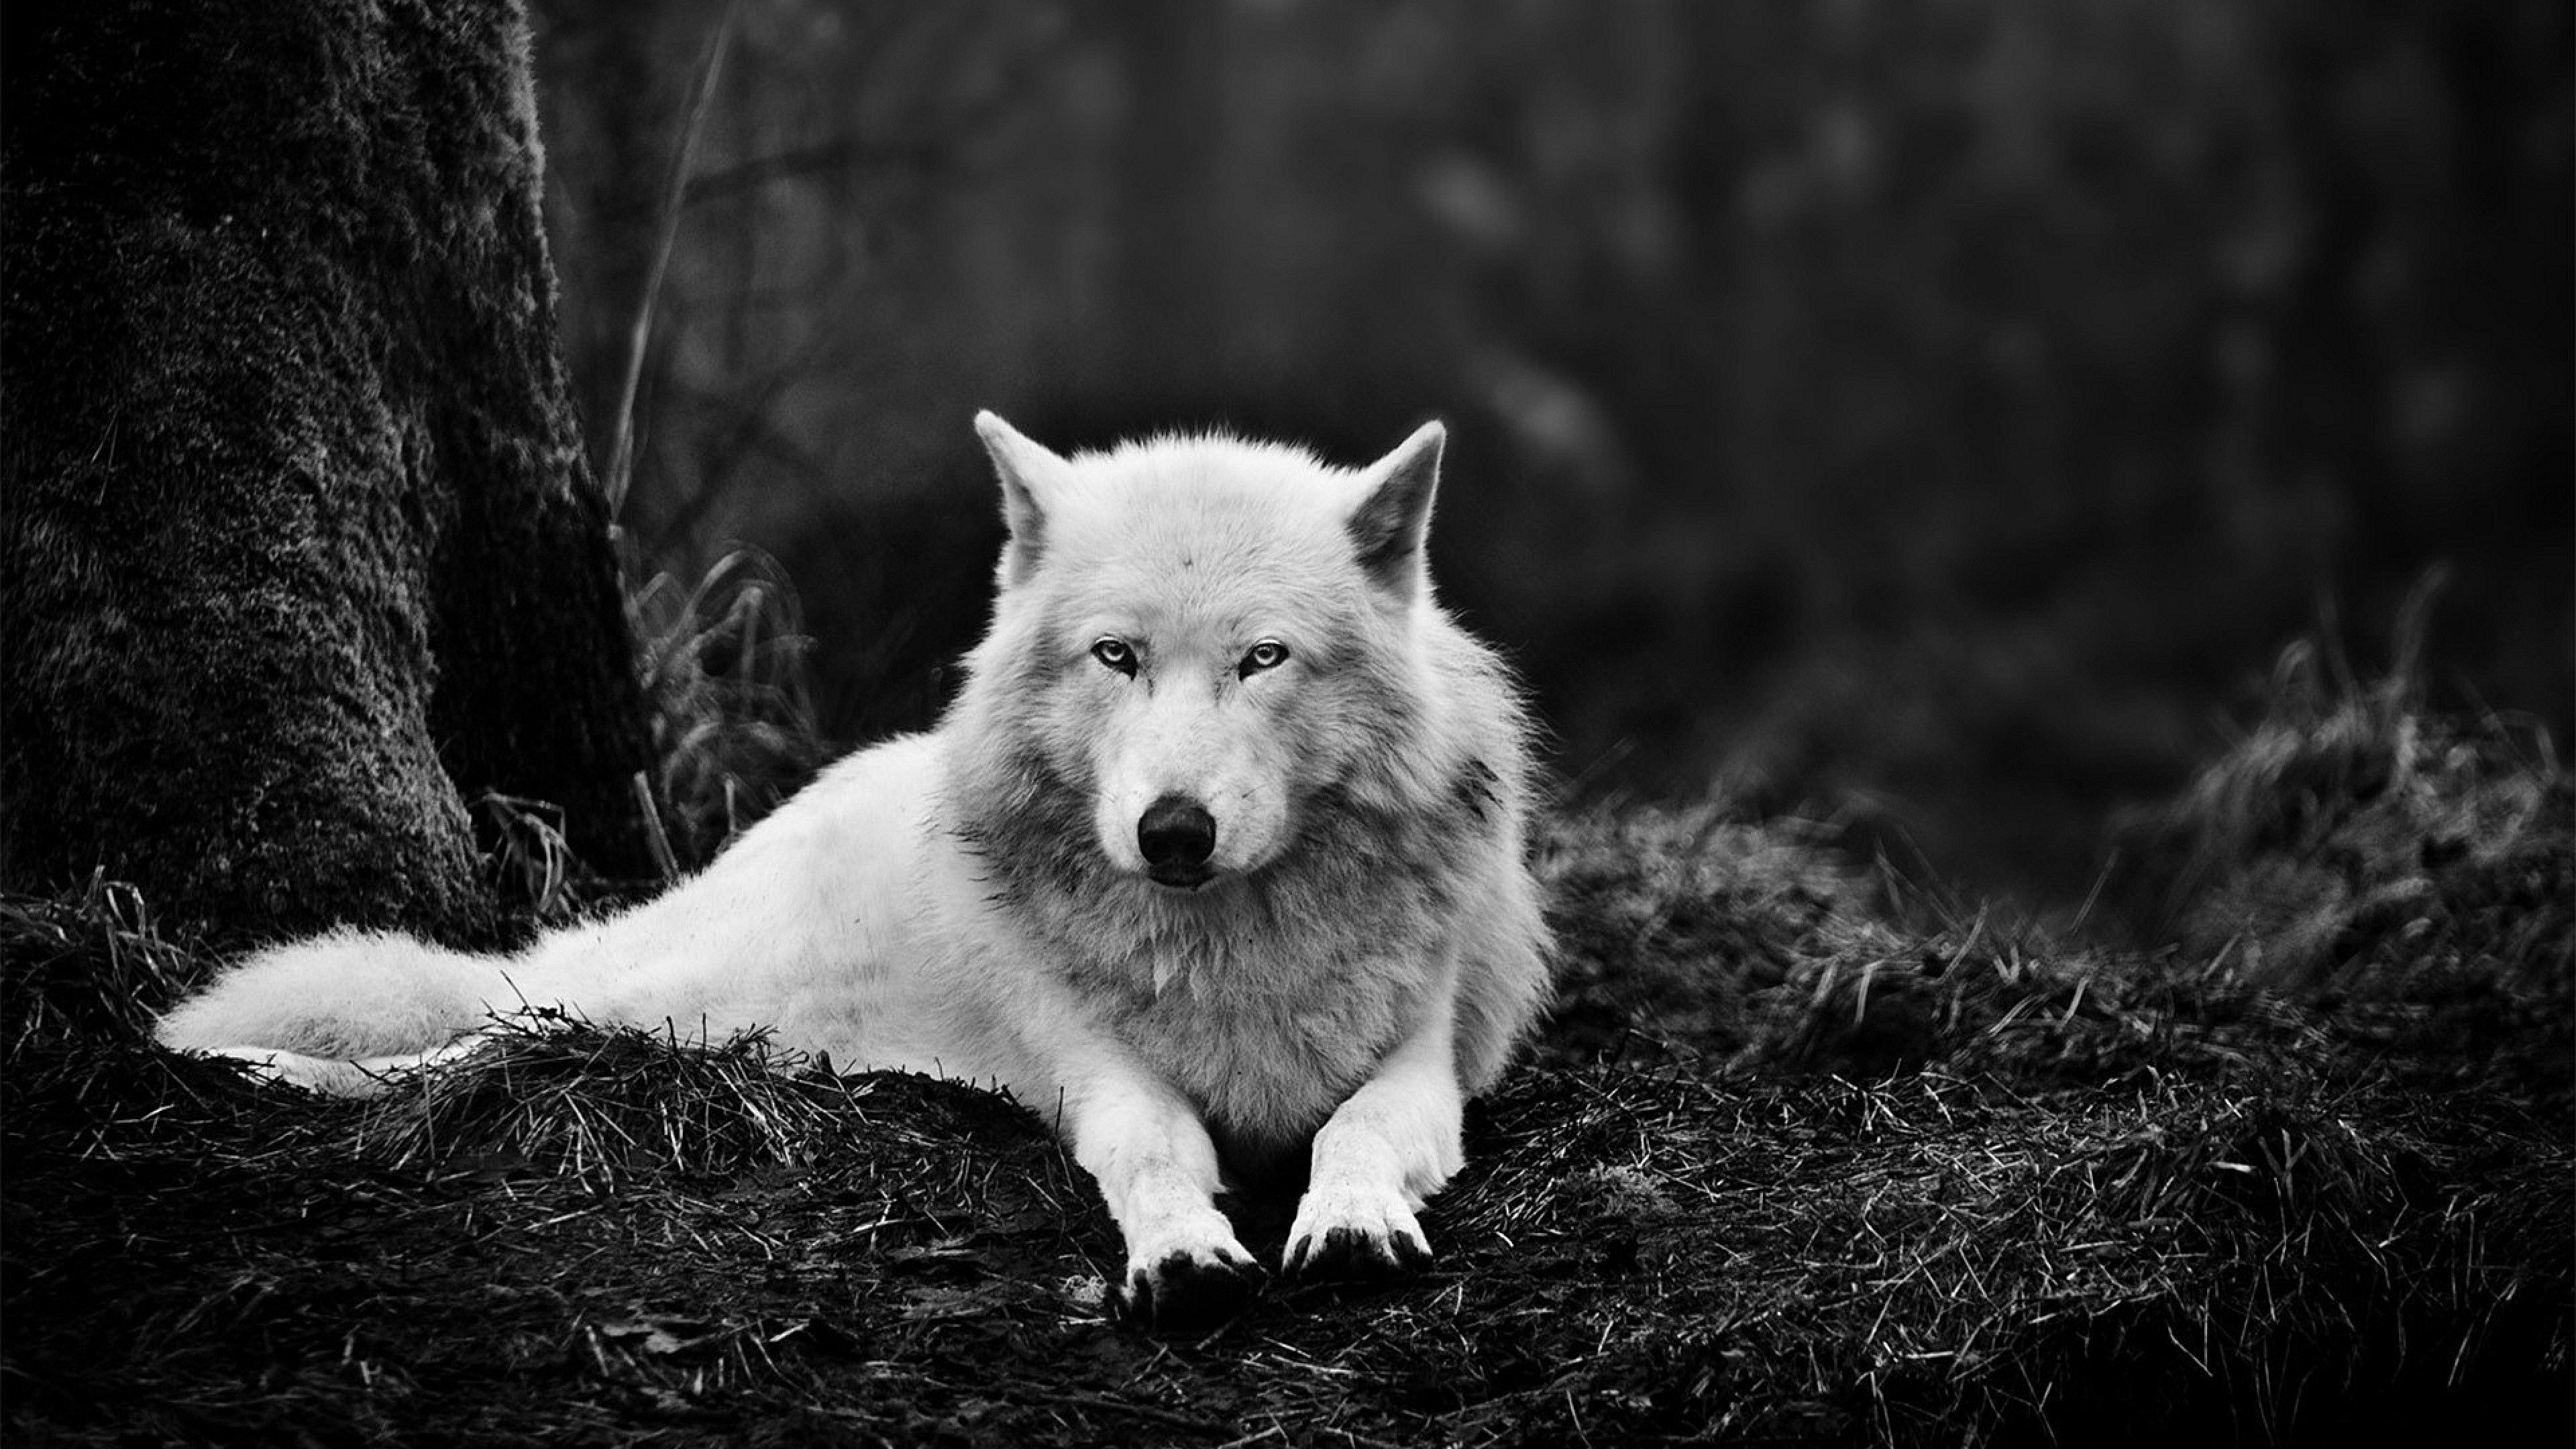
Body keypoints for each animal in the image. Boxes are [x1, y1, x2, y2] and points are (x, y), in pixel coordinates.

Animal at [157, 412, 1552, 1329]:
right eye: (1116, 656)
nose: (1172, 832)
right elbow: (1153, 1148)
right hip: (660, 1005)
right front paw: (1181, 1254)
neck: (1226, 945)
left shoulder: (1424, 1065)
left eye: (1265, 659)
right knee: (473, 1037)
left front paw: (1351, 1220)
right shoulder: (1098, 1074)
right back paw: (239, 1062)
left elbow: (1359, 1128)